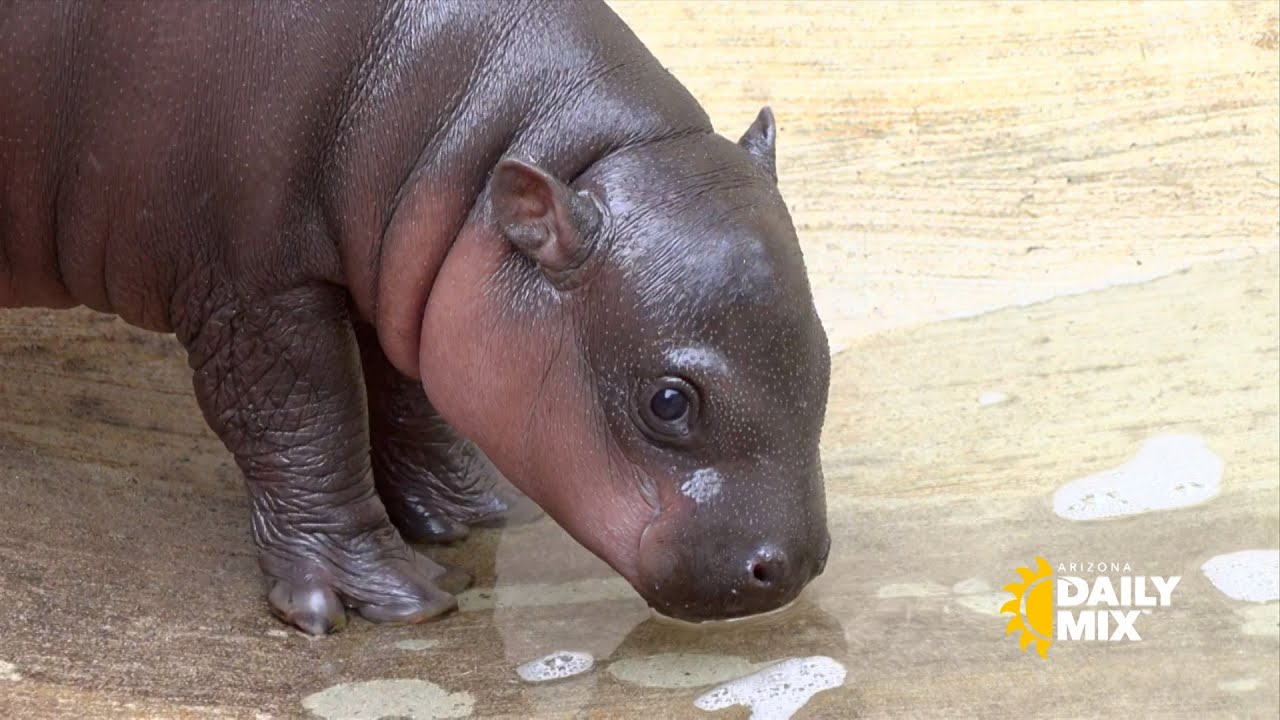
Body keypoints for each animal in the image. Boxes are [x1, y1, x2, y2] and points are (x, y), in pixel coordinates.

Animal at [0, 0, 831, 634]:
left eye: (826, 360)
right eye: (667, 402)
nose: (796, 565)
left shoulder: (403, 276)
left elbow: (408, 394)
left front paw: (480, 516)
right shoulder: (251, 289)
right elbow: (304, 419)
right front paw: (394, 598)